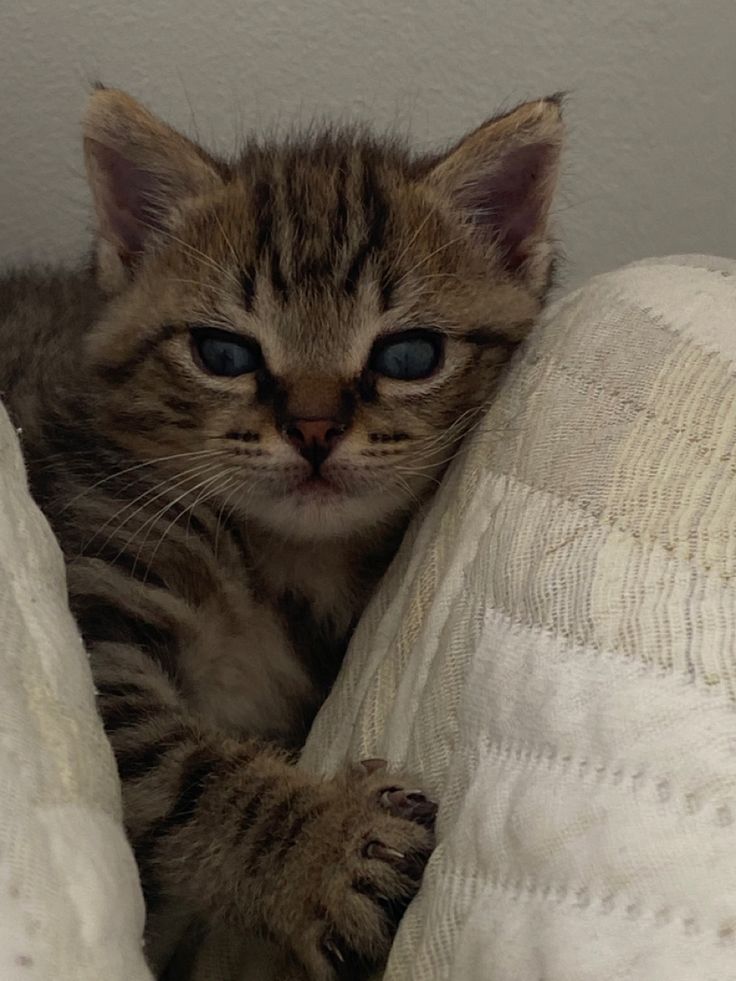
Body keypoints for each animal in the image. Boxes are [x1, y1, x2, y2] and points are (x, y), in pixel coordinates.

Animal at [0, 88, 564, 976]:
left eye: (409, 355)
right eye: (224, 353)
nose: (313, 428)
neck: (285, 564)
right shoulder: (94, 617)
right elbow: (181, 773)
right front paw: (331, 850)